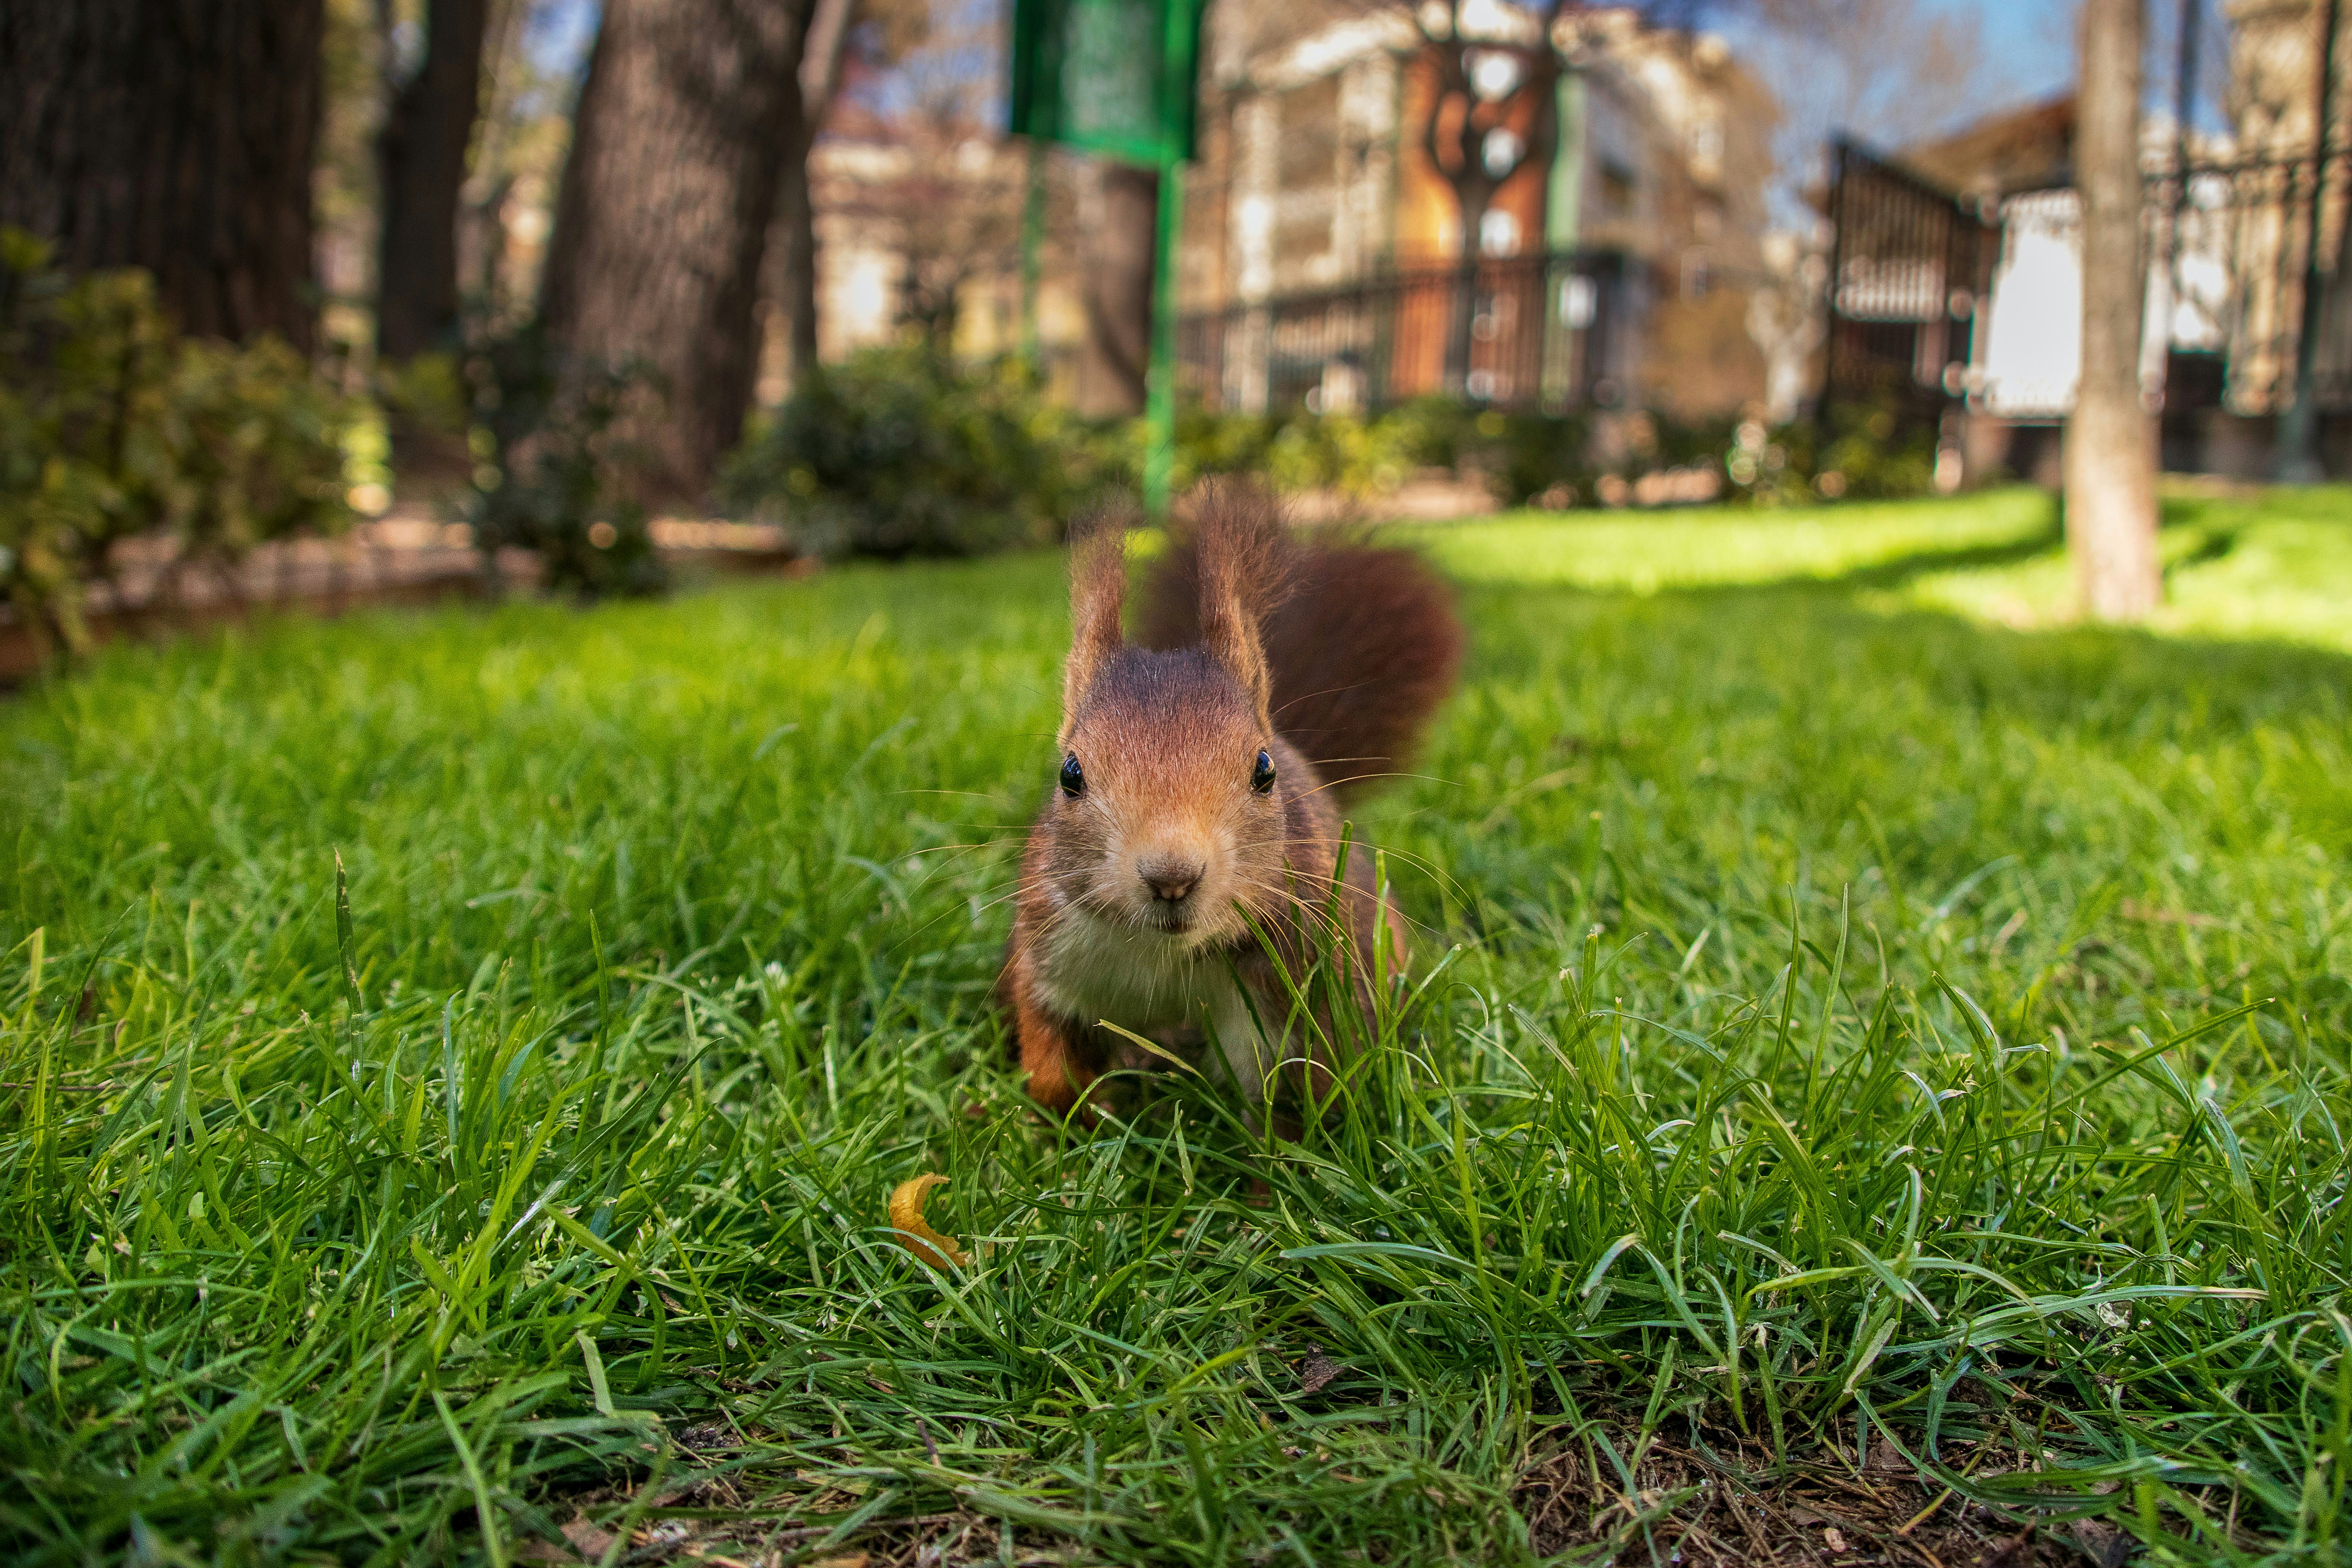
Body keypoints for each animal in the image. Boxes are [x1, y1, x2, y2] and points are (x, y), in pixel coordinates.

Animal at [1001, 482, 1463, 1122]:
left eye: (1263, 771)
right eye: (1070, 775)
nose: (1171, 877)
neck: (1166, 956)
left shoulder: (1304, 992)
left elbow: (1300, 1103)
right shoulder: (1053, 957)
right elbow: (1051, 1066)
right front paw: (1075, 1120)